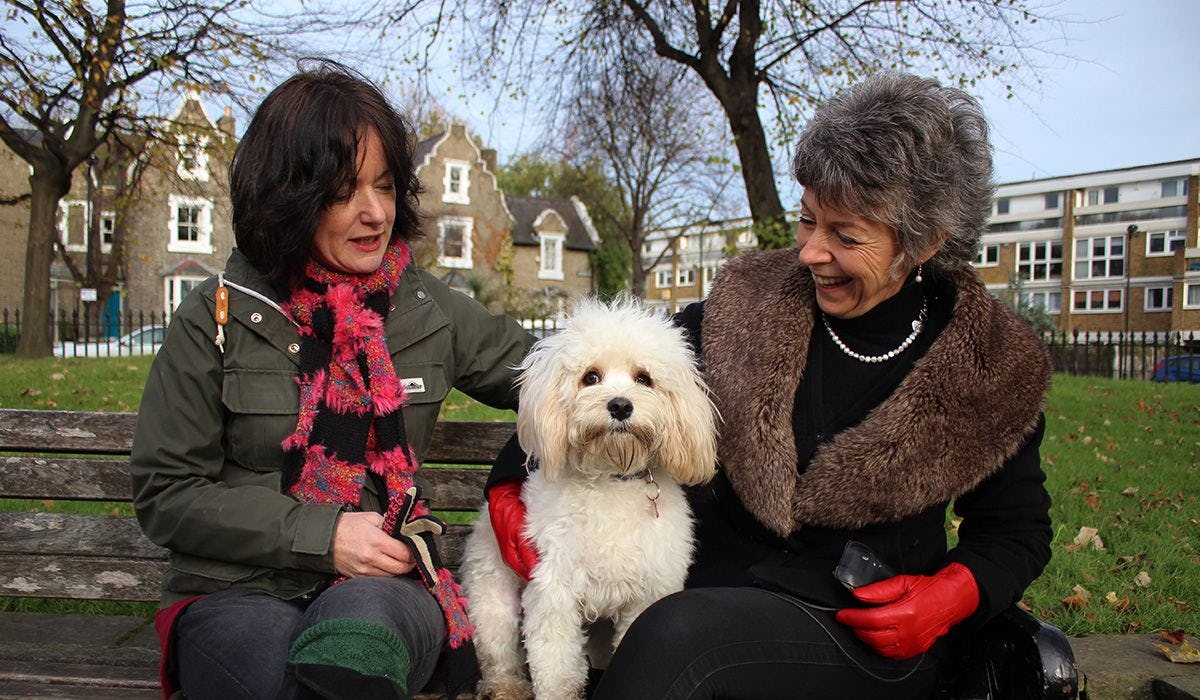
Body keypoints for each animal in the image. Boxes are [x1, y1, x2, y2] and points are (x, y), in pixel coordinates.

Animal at [460, 297, 715, 700]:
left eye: (644, 378)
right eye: (590, 377)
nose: (620, 406)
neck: (610, 479)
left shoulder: (648, 593)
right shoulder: (553, 594)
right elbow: (557, 671)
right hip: (493, 598)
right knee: (498, 652)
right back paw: (506, 687)